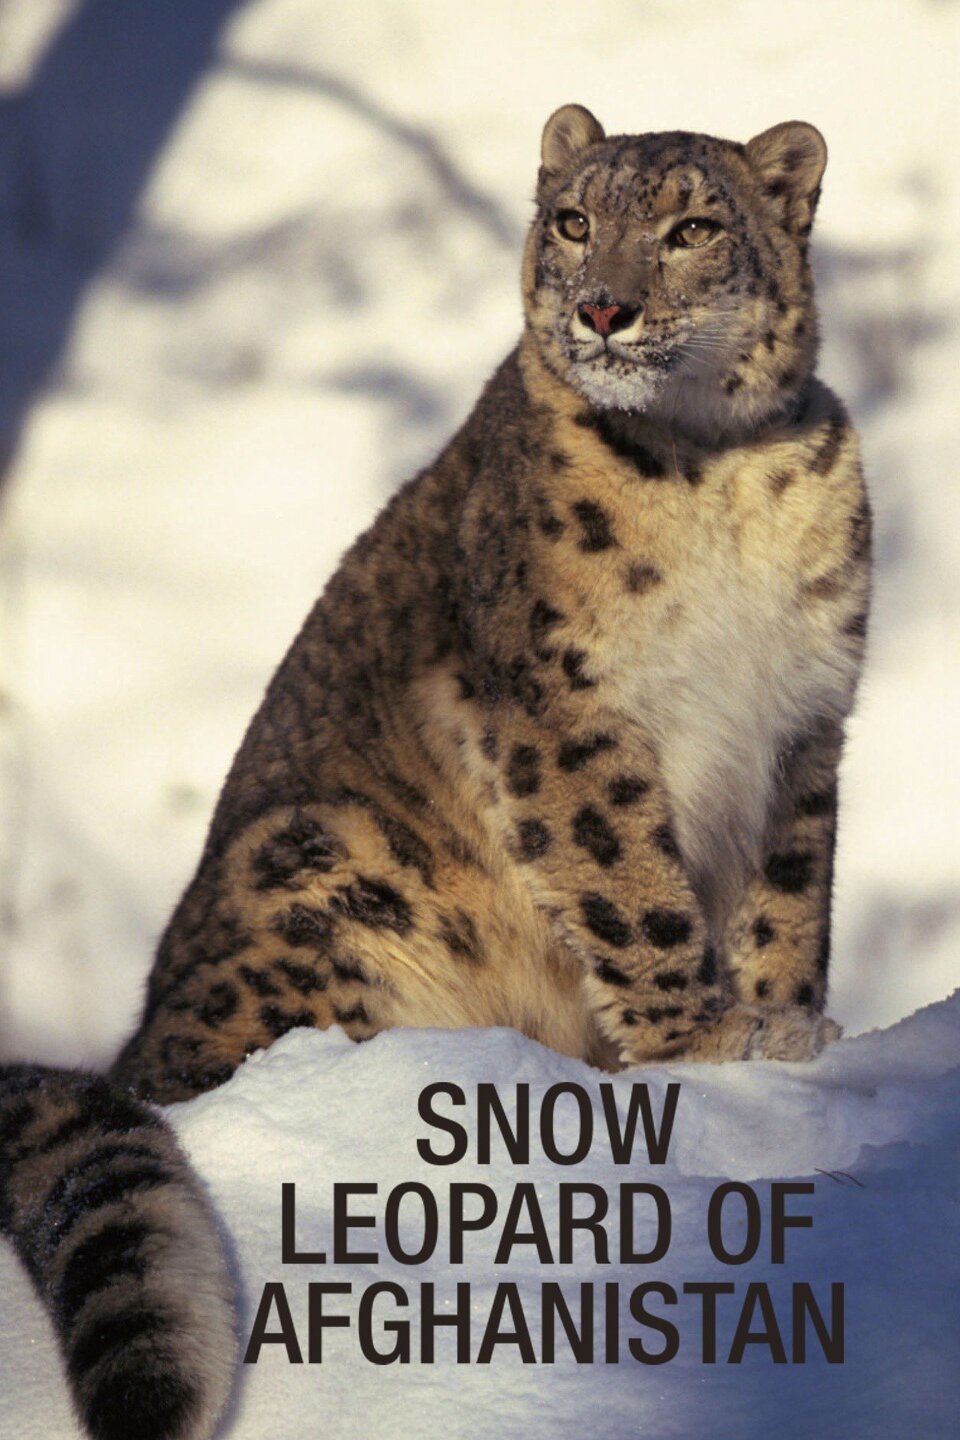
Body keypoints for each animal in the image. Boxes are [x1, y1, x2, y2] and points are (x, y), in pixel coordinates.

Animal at [0, 104, 871, 1440]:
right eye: (573, 220)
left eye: (691, 227)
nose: (605, 306)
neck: (715, 473)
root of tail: (139, 1042)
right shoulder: (564, 710)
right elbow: (633, 887)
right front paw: (706, 1040)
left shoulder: (805, 721)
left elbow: (789, 899)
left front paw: (786, 1024)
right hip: (326, 864)